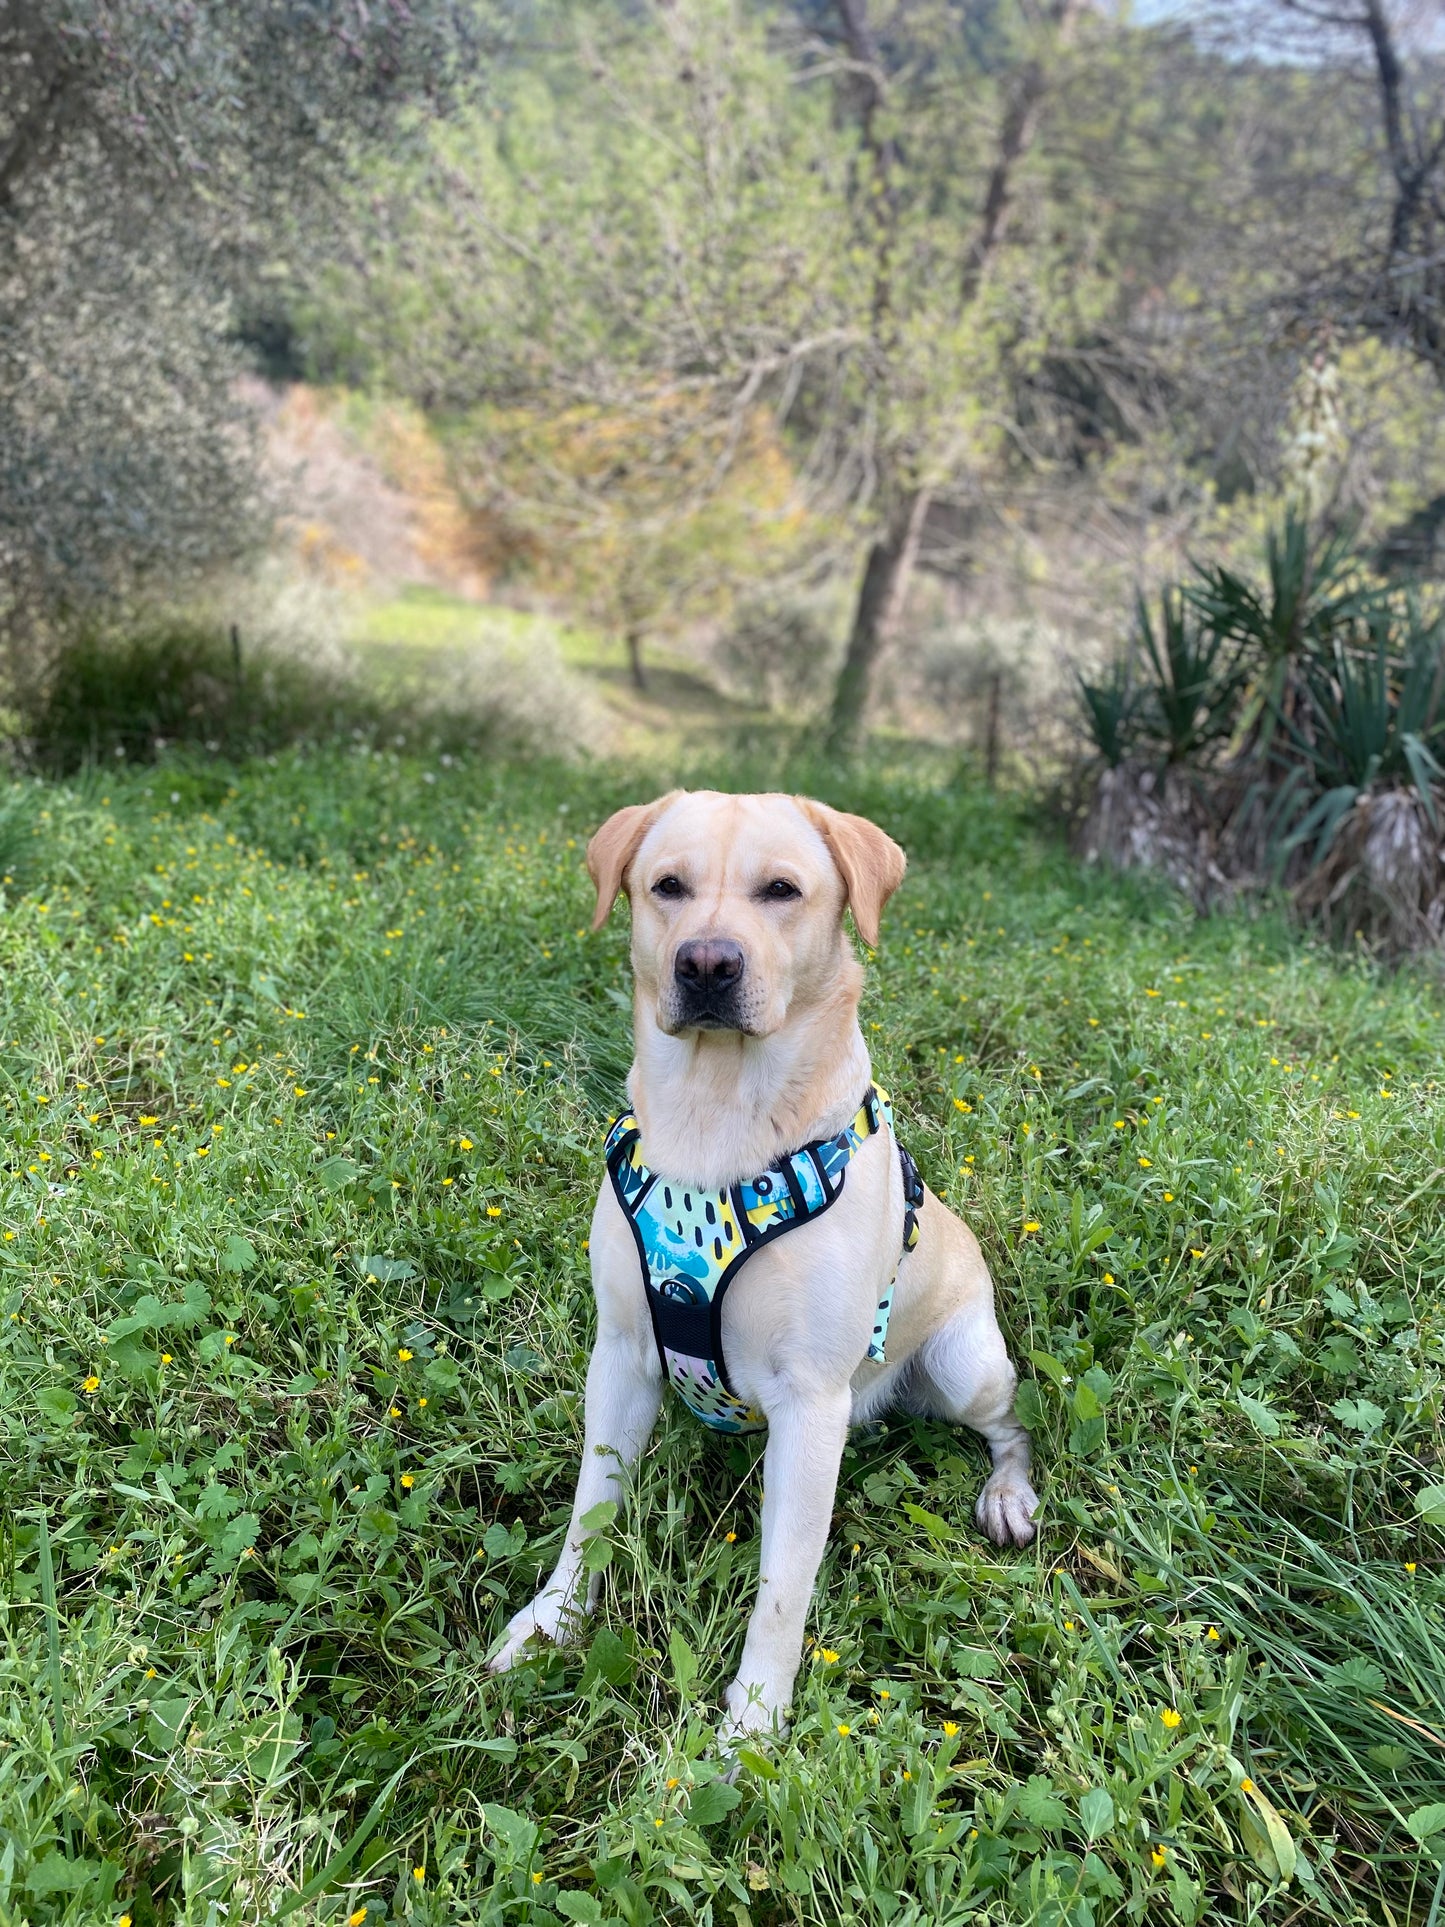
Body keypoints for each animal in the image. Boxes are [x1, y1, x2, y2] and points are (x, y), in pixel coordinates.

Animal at [493, 790, 1032, 1742]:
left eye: (782, 890)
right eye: (666, 886)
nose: (706, 962)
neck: (716, 1115)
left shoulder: (810, 1405)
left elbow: (782, 1590)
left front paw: (750, 1727)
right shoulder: (620, 1359)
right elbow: (590, 1510)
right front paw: (552, 1621)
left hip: (964, 1365)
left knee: (1010, 1425)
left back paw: (1008, 1493)